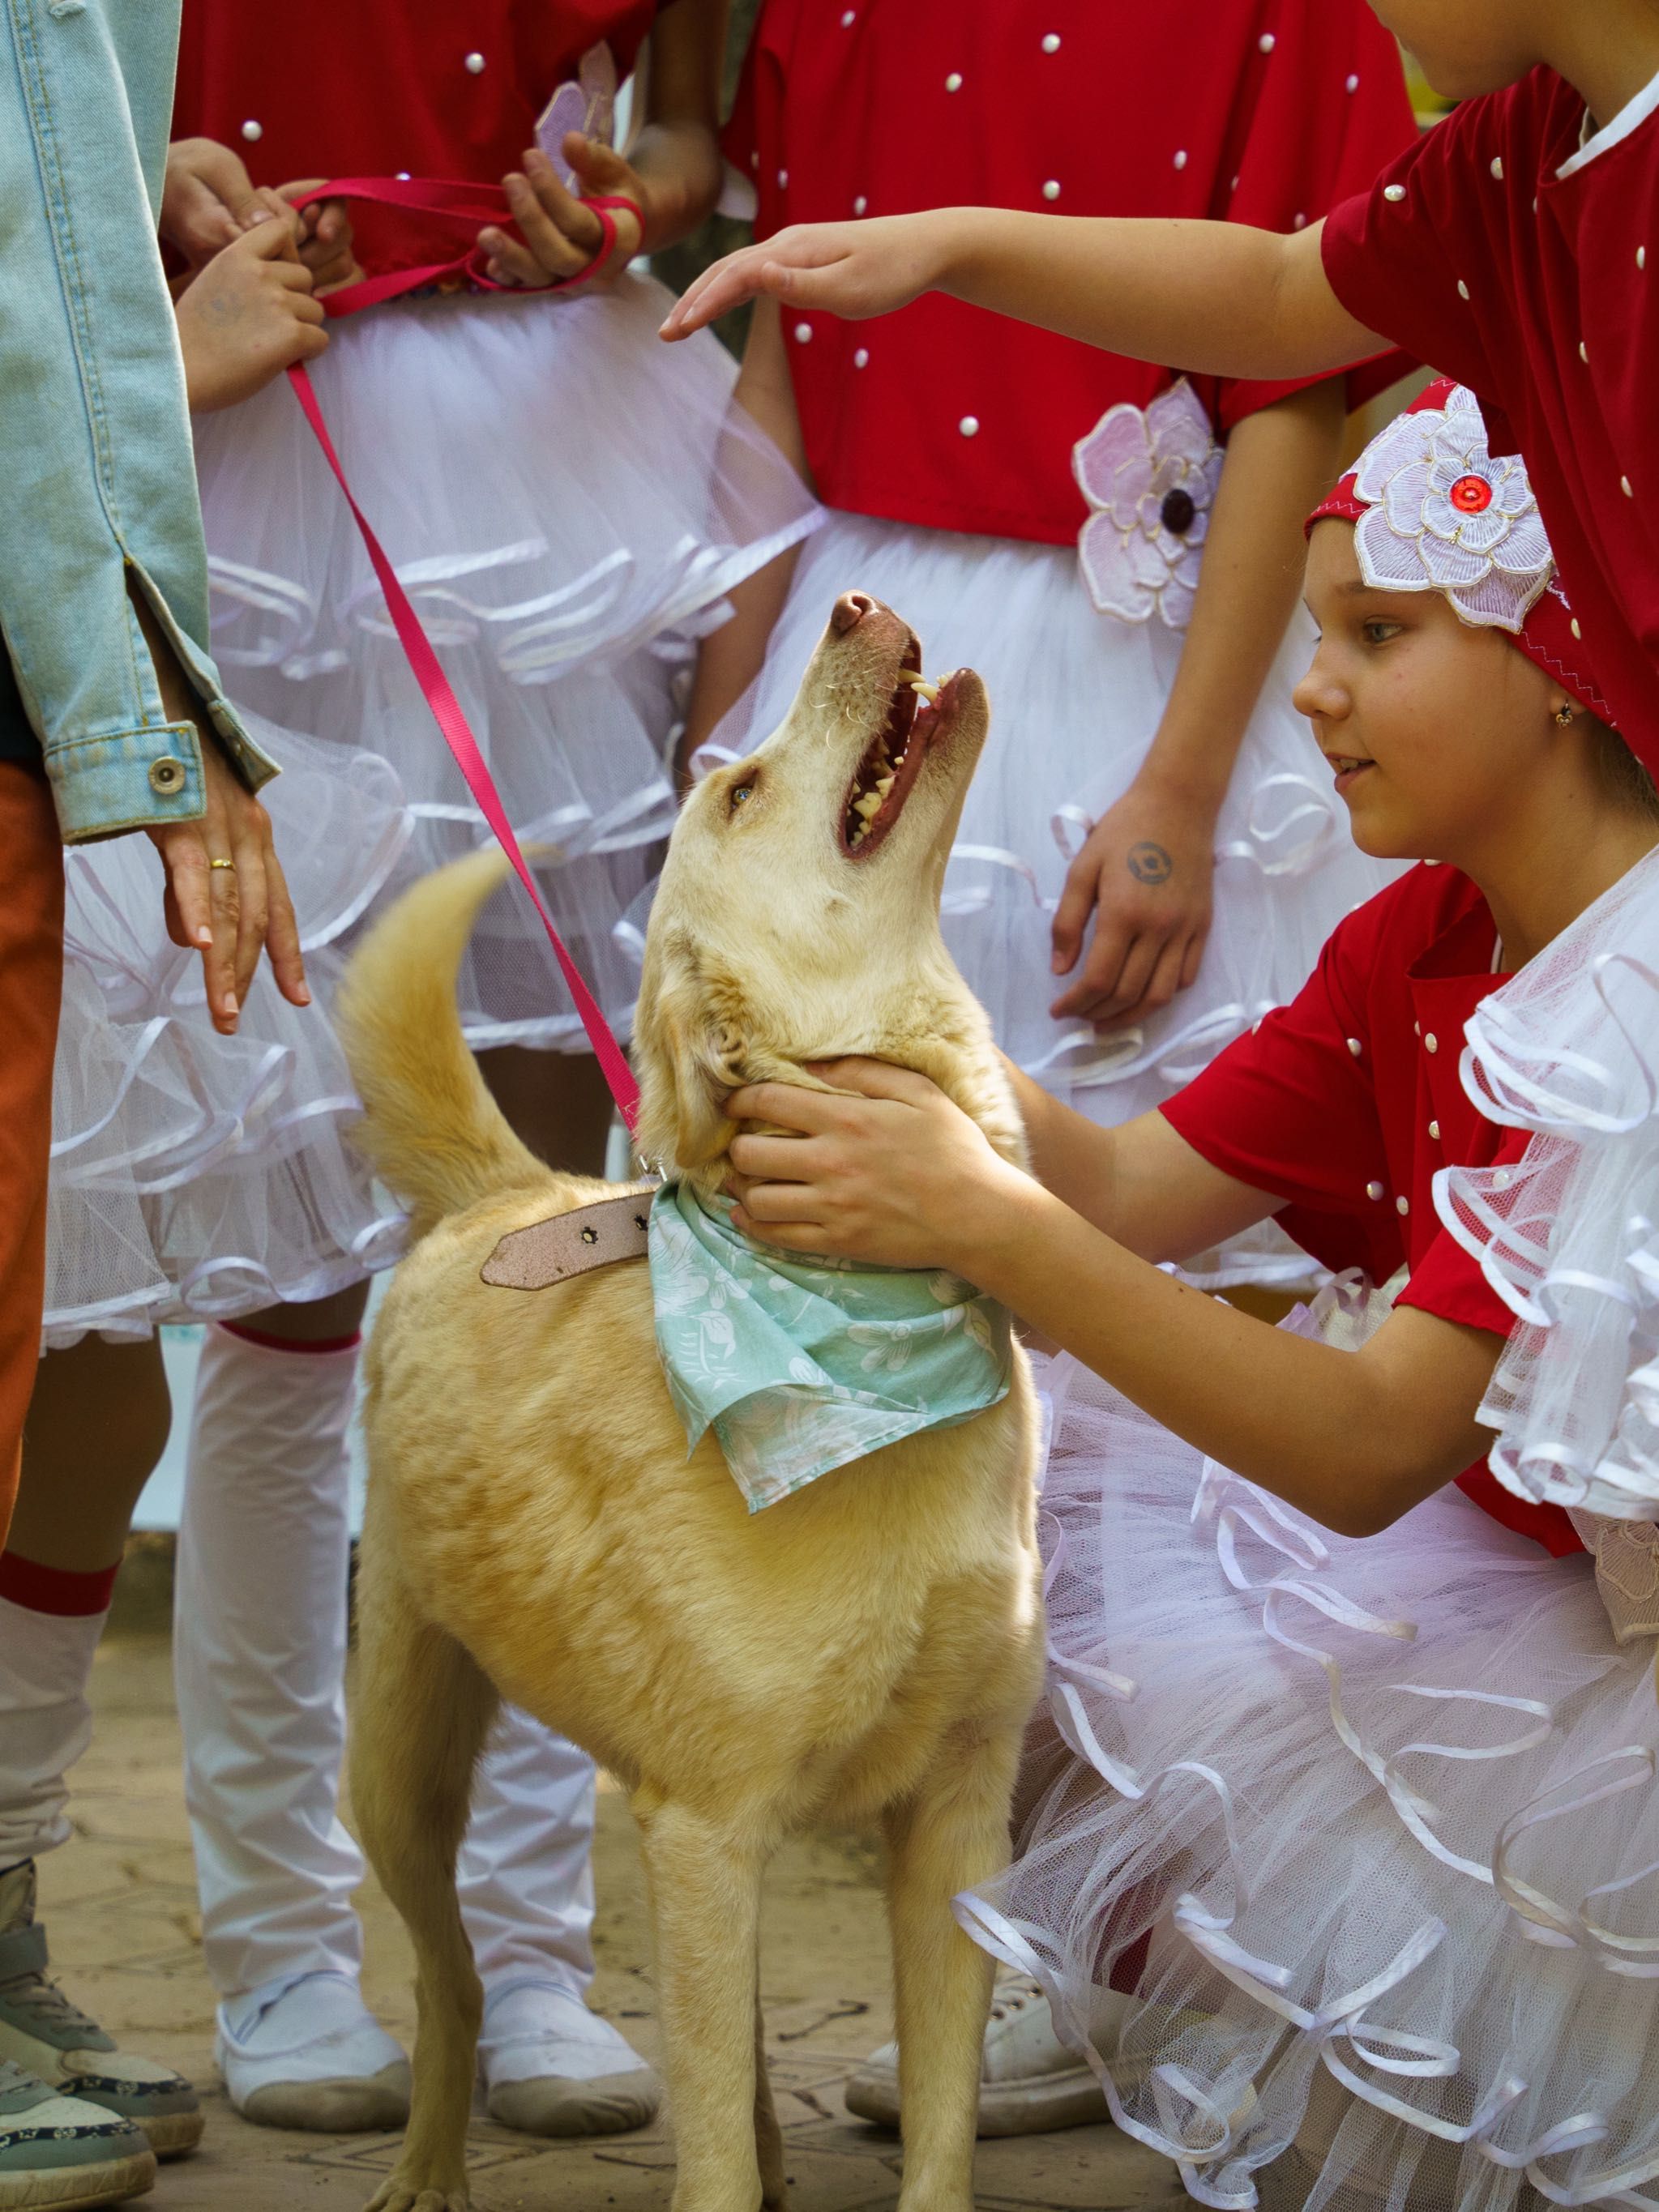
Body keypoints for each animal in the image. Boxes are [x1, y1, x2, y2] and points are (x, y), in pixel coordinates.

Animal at [334, 592, 1039, 2212]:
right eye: (741, 794)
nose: (851, 606)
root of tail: (509, 1189)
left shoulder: (953, 1821)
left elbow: (940, 2127)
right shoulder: (707, 1826)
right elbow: (704, 2146)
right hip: (399, 1758)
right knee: (452, 1979)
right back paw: (426, 2167)